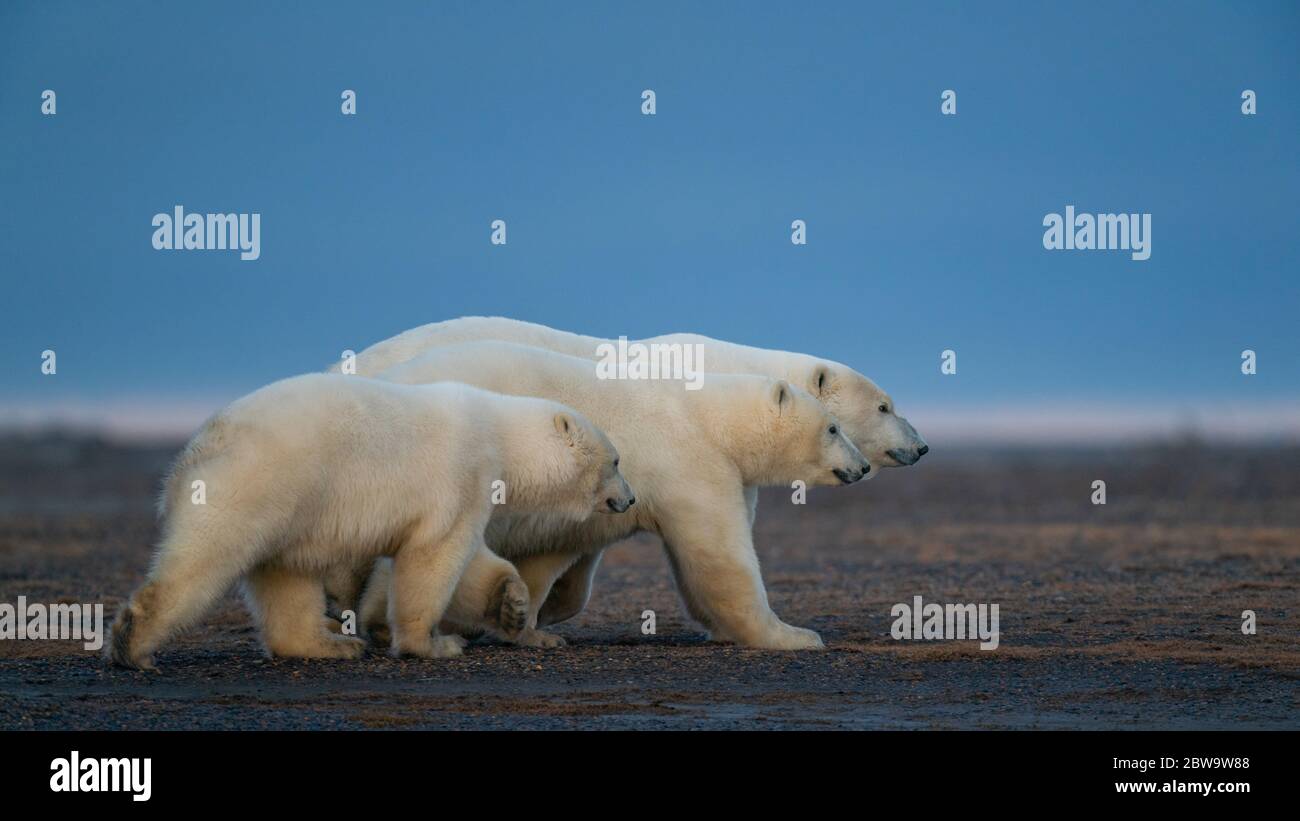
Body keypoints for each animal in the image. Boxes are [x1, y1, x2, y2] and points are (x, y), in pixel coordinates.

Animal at [107, 373, 631, 670]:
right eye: (616, 460)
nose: (628, 499)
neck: (499, 432)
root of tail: (196, 448)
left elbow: (468, 560)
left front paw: (517, 608)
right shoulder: (462, 473)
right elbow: (436, 555)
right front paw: (433, 645)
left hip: (290, 504)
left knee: (285, 575)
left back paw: (328, 645)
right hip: (255, 483)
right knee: (205, 560)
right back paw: (134, 645)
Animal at [331, 317, 926, 648]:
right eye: (884, 405)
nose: (920, 446)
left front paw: (539, 613)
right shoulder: (684, 461)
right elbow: (718, 551)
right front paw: (791, 635)